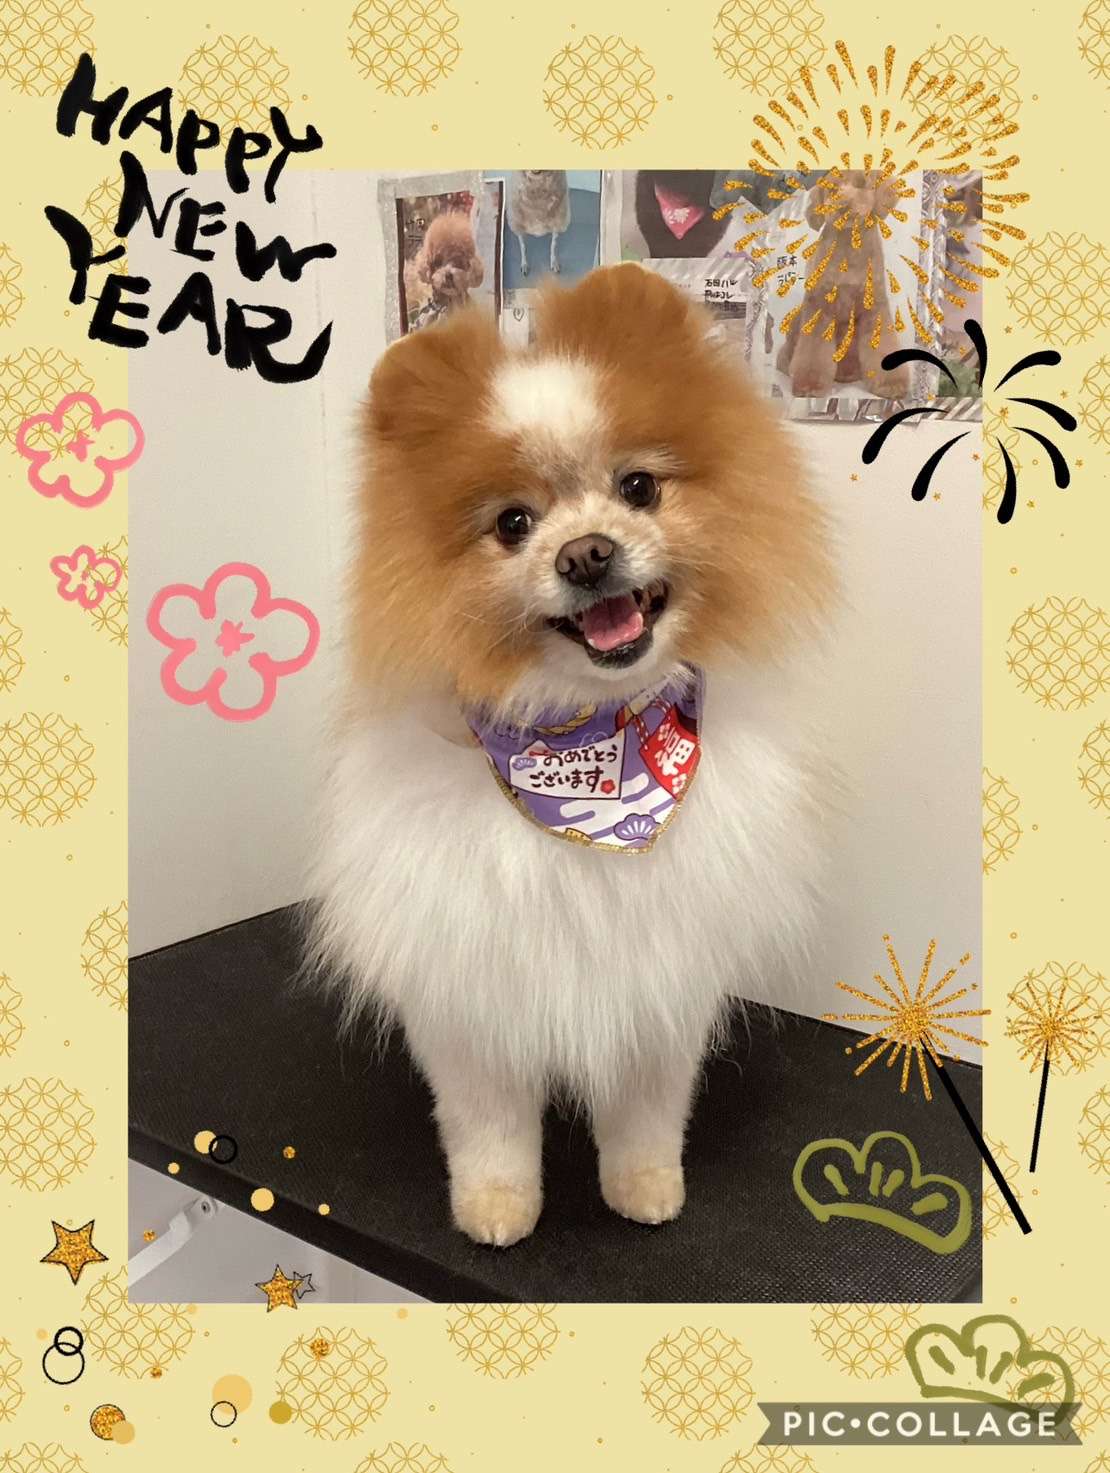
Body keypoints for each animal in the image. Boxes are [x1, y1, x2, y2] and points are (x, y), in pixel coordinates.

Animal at [309, 264, 833, 1248]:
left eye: (638, 486)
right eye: (513, 523)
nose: (588, 554)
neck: (590, 744)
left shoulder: (662, 976)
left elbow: (648, 1111)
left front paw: (645, 1187)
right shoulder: (472, 984)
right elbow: (487, 1124)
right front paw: (496, 1206)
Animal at [776, 170, 910, 398]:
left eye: (862, 182)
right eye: (831, 188)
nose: (841, 205)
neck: (849, 247)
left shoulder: (875, 309)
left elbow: (883, 345)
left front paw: (892, 384)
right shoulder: (820, 308)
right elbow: (813, 351)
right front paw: (809, 385)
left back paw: (848, 373)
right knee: (789, 351)